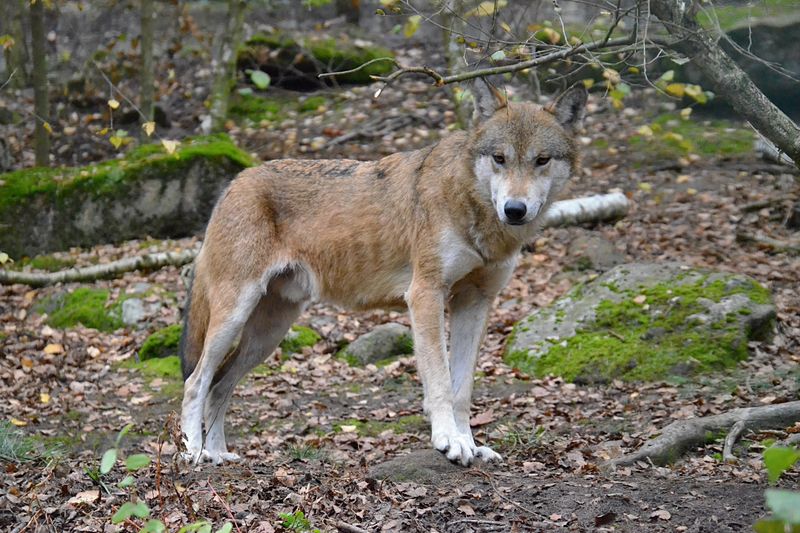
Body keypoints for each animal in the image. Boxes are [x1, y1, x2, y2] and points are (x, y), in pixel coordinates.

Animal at [179, 81, 587, 466]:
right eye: (500, 158)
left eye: (541, 160)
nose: (514, 209)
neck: (473, 206)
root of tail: (234, 183)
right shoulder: (425, 295)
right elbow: (440, 382)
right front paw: (449, 441)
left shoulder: (475, 302)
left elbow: (462, 390)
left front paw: (470, 444)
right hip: (234, 318)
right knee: (196, 382)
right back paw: (195, 454)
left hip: (268, 334)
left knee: (219, 386)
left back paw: (219, 454)